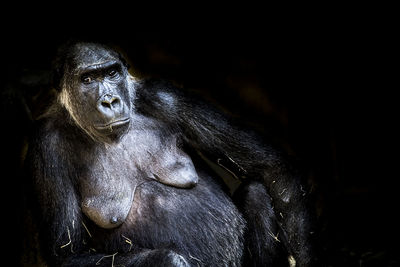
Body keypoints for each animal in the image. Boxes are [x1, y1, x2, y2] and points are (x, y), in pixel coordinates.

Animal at [25, 41, 318, 266]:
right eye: (87, 79)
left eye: (111, 73)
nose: (109, 101)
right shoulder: (46, 147)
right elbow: (68, 254)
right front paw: (170, 260)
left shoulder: (165, 97)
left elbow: (270, 167)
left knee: (257, 190)